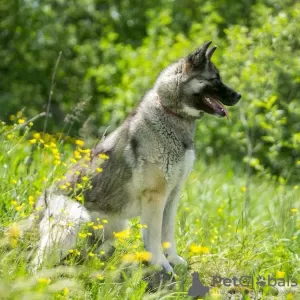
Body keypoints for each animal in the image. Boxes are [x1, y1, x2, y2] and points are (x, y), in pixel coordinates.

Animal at [28, 41, 241, 274]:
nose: (238, 96)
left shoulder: (172, 195)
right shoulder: (156, 196)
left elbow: (167, 234)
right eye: (215, 80)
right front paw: (161, 264)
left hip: (116, 225)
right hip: (74, 218)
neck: (172, 114)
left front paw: (173, 259)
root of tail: (38, 207)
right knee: (37, 262)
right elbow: (154, 236)